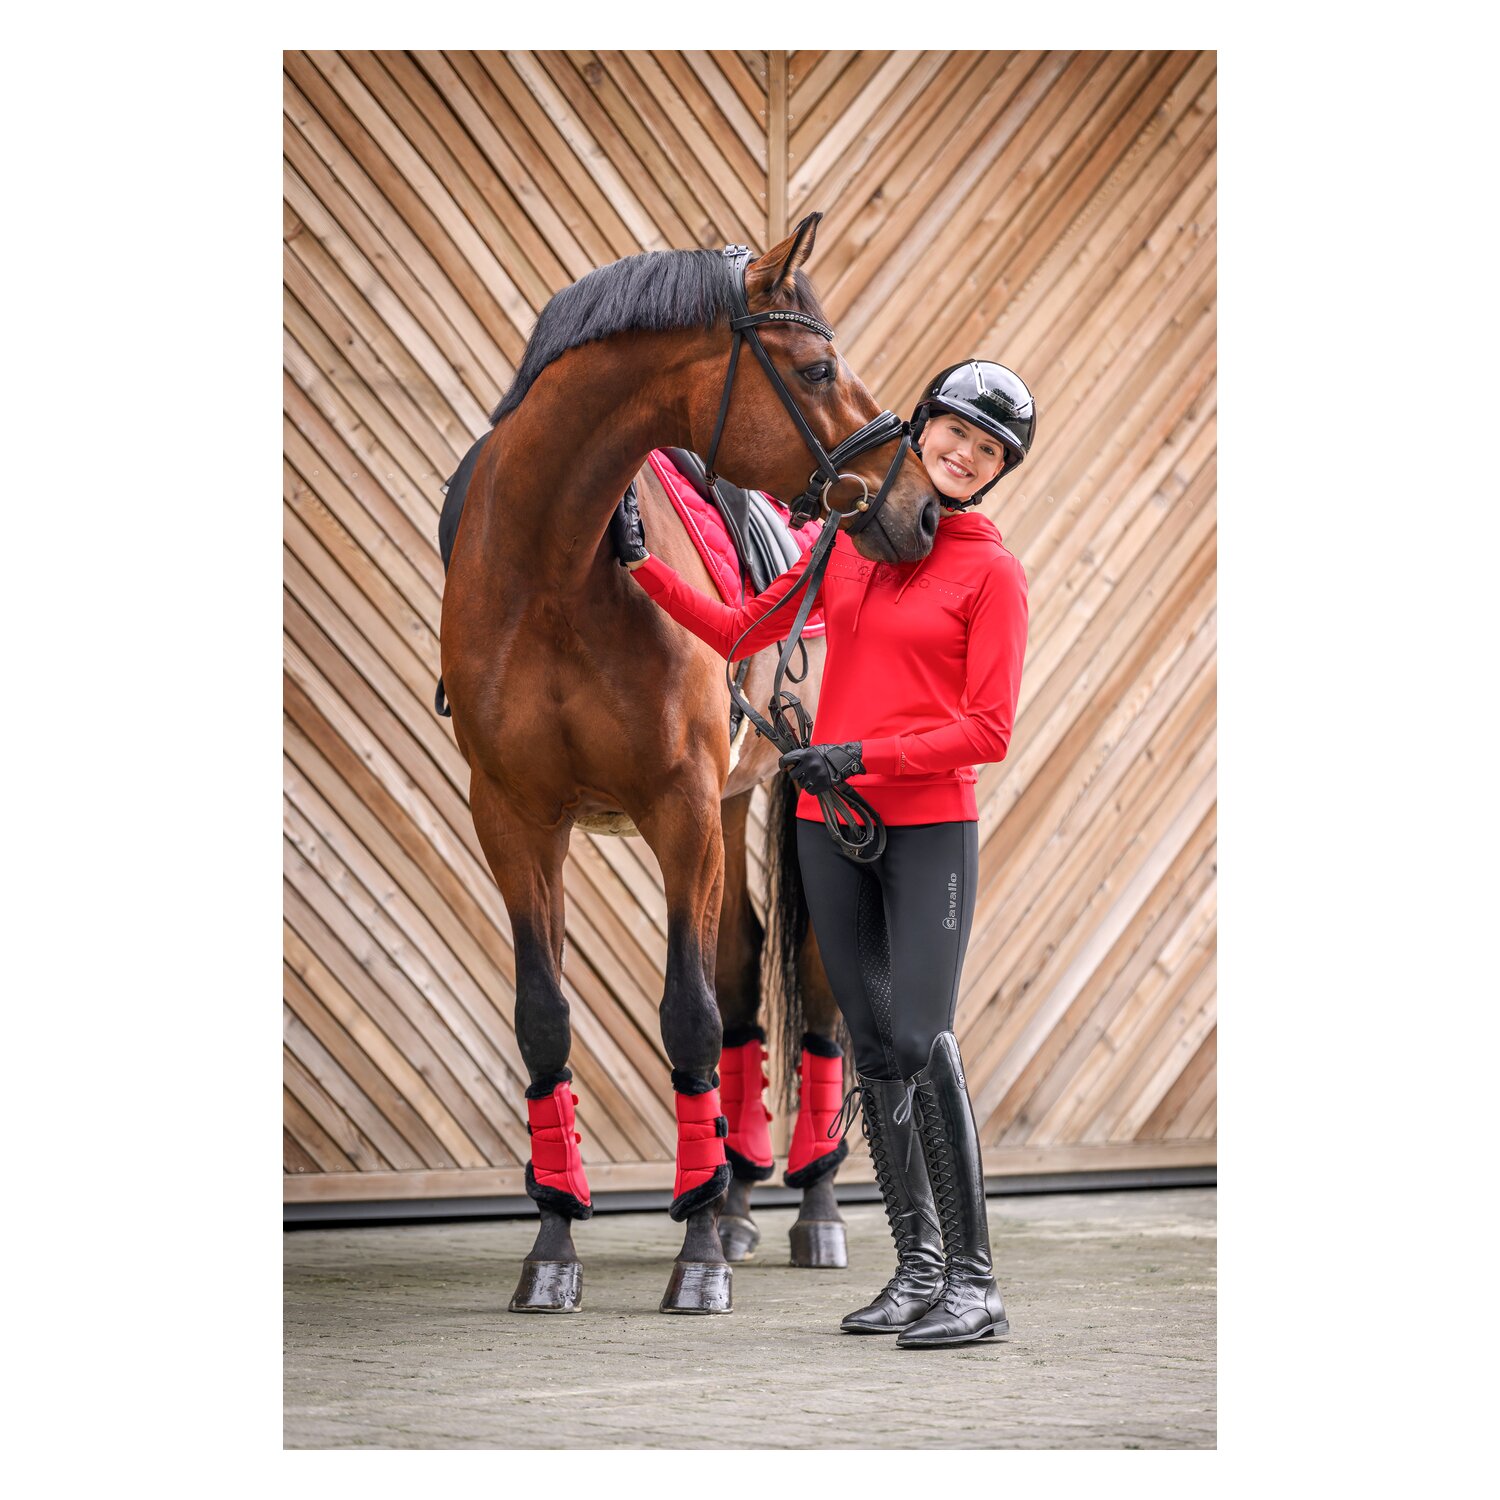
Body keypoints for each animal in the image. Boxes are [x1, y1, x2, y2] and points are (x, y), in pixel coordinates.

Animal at [439, 213, 942, 1314]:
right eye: (817, 366)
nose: (921, 509)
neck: (553, 566)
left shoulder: (679, 806)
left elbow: (690, 1018)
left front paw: (698, 1253)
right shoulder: (515, 817)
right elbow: (546, 1020)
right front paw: (555, 1244)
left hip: (781, 796)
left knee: (809, 984)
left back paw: (806, 1207)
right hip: (721, 809)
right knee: (744, 962)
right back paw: (738, 1193)